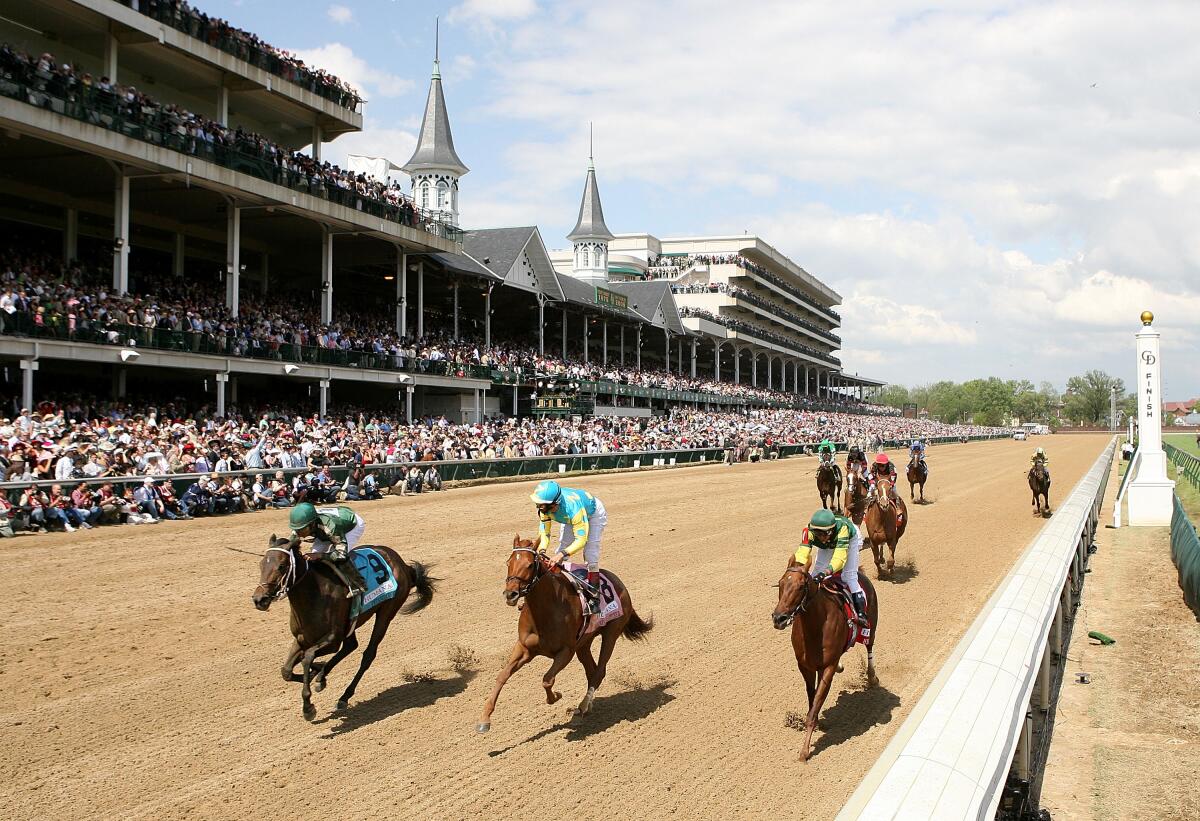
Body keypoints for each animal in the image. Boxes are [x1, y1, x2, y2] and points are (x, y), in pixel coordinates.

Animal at [253, 532, 436, 720]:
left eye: (282, 566)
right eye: (261, 564)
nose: (259, 599)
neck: (315, 594)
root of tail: (404, 565)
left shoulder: (332, 640)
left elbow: (308, 657)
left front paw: (308, 706)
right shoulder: (301, 639)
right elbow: (286, 671)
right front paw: (317, 673)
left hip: (386, 613)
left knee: (368, 655)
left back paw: (344, 696)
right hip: (351, 622)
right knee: (351, 645)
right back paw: (322, 676)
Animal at [475, 535, 652, 734]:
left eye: (530, 565)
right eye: (508, 562)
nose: (510, 594)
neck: (545, 611)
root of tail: (619, 582)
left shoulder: (566, 652)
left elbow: (547, 680)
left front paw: (555, 696)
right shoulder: (524, 647)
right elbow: (502, 676)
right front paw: (484, 719)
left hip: (611, 634)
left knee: (599, 671)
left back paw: (581, 708)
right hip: (584, 644)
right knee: (591, 670)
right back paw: (587, 707)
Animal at [772, 556, 878, 763]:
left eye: (800, 587)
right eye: (780, 583)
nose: (778, 618)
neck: (815, 626)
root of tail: (861, 574)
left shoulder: (827, 667)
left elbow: (814, 708)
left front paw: (804, 752)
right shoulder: (805, 666)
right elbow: (812, 698)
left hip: (872, 626)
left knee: (870, 647)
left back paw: (872, 677)